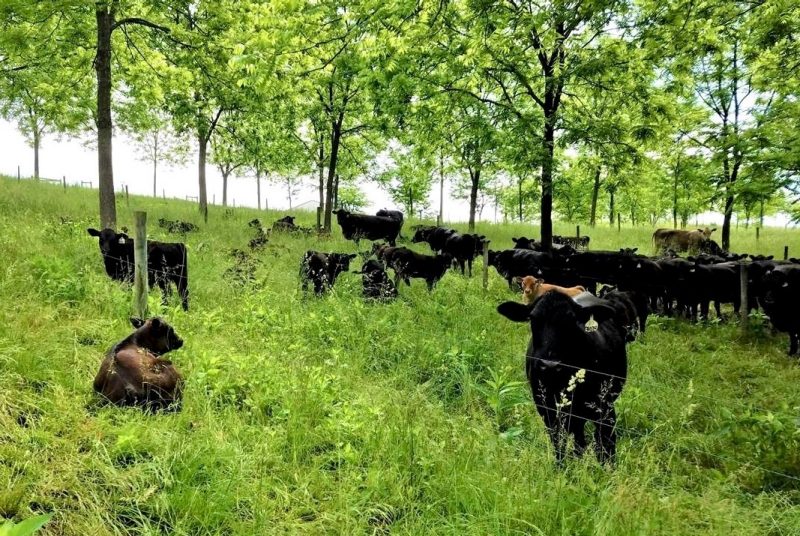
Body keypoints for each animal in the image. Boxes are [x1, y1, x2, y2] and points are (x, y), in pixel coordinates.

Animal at [496, 292, 628, 462]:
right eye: (533, 318)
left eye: (571, 320)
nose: (549, 364)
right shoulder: (545, 407)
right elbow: (558, 441)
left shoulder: (604, 406)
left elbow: (606, 444)